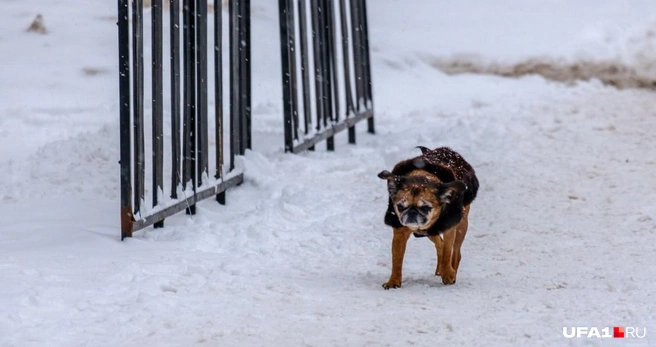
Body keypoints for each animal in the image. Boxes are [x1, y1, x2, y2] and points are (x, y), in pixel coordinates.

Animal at [376, 145, 480, 290]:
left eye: (426, 207)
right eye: (400, 207)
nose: (412, 213)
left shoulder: (449, 227)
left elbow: (448, 251)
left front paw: (448, 273)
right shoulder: (399, 232)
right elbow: (396, 258)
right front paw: (394, 281)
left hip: (461, 226)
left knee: (455, 251)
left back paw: (451, 269)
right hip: (430, 232)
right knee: (439, 243)